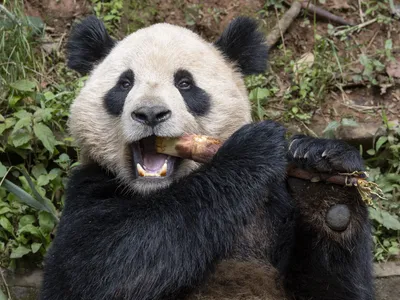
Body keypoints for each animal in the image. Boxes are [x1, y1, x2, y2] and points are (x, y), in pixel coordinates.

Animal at [39, 16, 374, 300]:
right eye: (124, 83)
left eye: (185, 83)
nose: (150, 113)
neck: (155, 193)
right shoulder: (90, 185)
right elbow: (100, 268)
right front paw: (252, 149)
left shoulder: (272, 208)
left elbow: (334, 290)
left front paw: (324, 177)